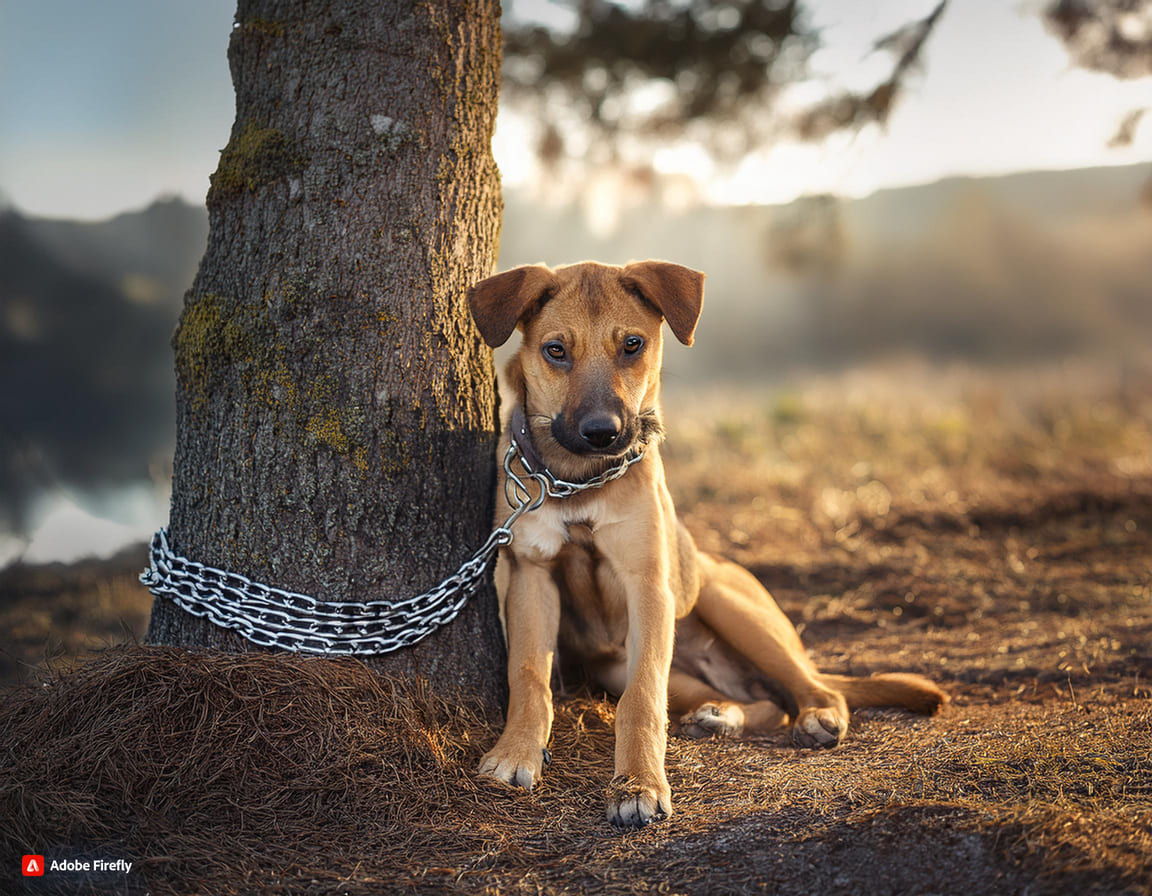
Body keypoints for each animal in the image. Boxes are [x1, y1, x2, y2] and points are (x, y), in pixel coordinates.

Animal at [465, 256, 944, 824]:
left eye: (632, 345)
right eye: (555, 350)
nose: (603, 433)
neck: (580, 482)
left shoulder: (648, 583)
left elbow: (642, 699)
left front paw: (638, 785)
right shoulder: (532, 575)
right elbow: (528, 676)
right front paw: (516, 752)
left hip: (729, 605)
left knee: (814, 687)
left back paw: (816, 713)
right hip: (630, 666)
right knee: (760, 703)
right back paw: (720, 715)